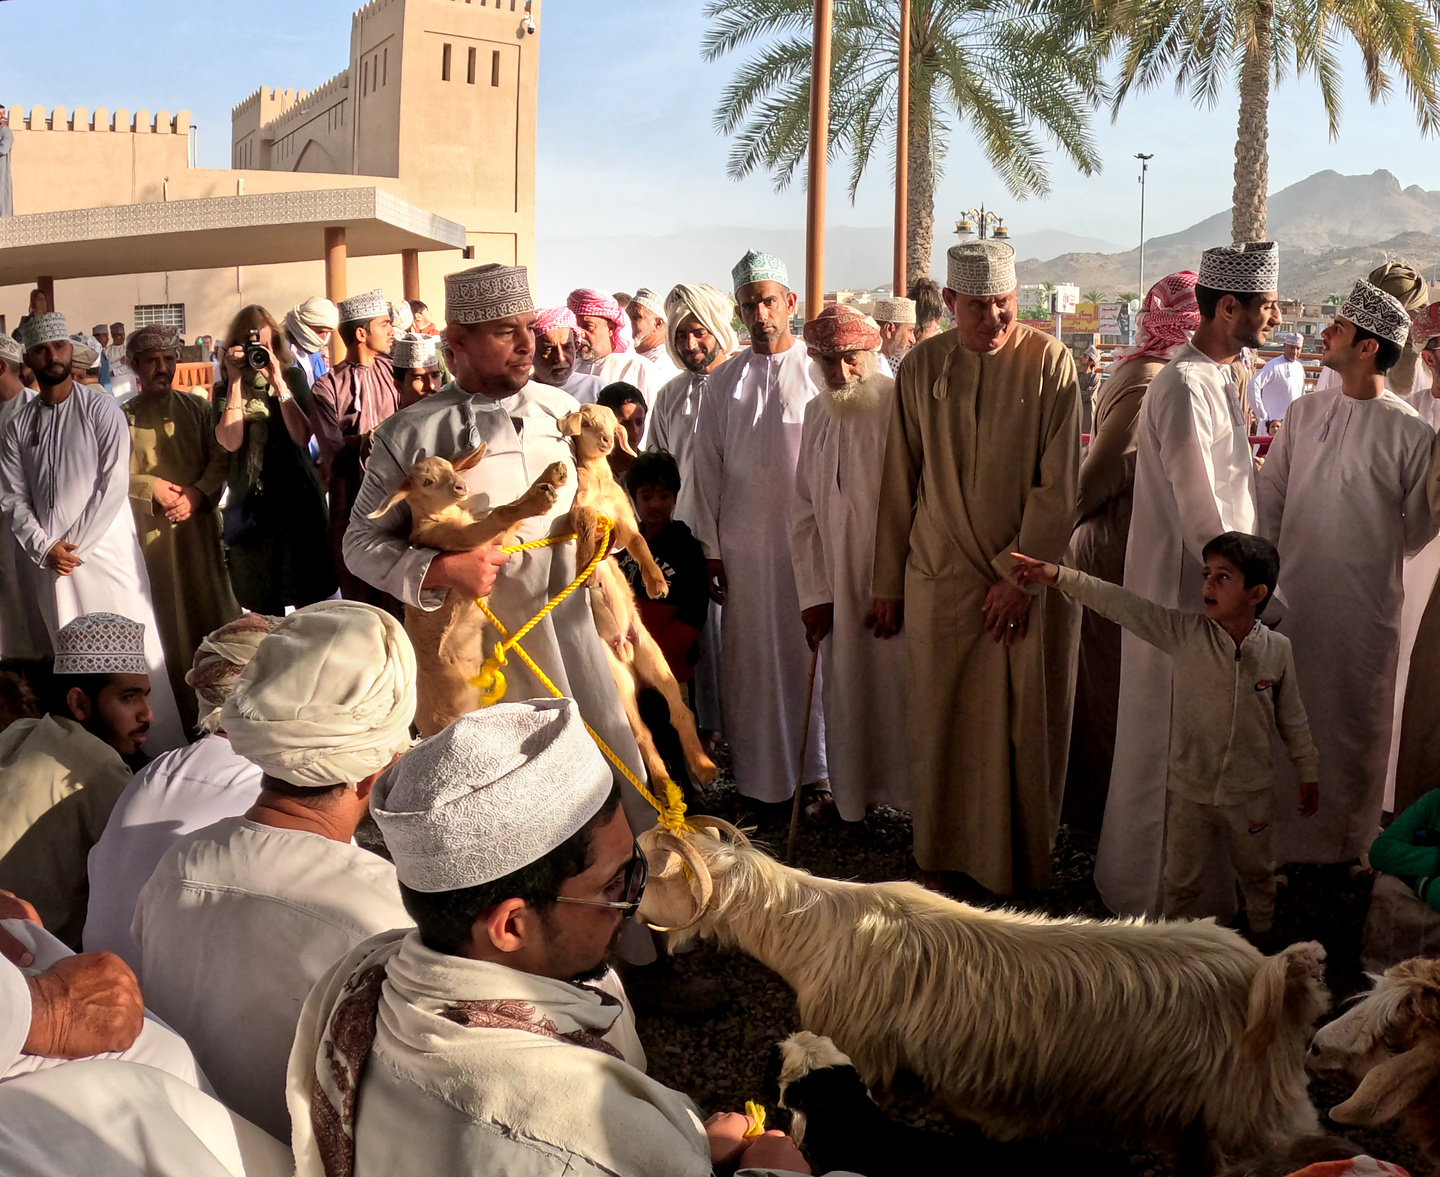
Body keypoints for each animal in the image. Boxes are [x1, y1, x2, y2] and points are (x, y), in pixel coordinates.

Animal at [469, 515, 694, 835]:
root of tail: (625, 650)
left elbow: (630, 538)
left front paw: (655, 582)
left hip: (651, 655)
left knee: (678, 710)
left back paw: (700, 768)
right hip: (619, 680)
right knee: (643, 731)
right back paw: (668, 785)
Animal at [648, 818, 1330, 1164]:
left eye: (661, 872)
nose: (635, 915)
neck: (817, 932)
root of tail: (1275, 976)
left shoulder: (864, 1062)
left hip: (1253, 1128)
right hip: (1197, 1122)